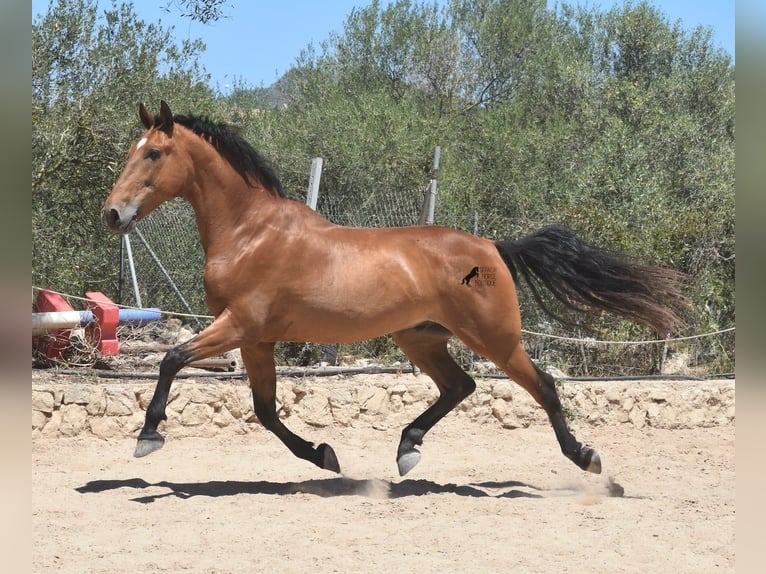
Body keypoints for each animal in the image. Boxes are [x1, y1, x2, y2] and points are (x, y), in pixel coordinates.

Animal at [103, 101, 688, 480]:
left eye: (153, 153)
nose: (113, 214)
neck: (251, 232)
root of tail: (492, 246)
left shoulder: (240, 325)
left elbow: (172, 359)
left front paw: (148, 437)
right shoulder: (257, 338)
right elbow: (266, 411)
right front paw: (323, 455)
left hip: (492, 338)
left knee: (541, 385)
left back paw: (585, 457)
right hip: (421, 338)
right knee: (459, 387)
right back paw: (407, 449)